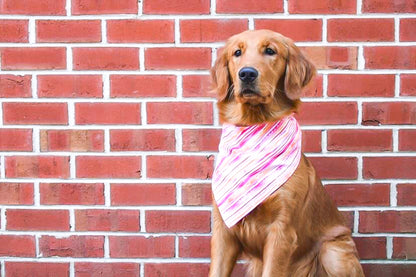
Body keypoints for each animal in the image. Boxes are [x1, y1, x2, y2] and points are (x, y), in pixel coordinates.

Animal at [210, 29, 362, 276]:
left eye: (270, 51)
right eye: (237, 53)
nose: (247, 74)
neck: (256, 125)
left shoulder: (281, 231)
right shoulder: (224, 231)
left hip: (333, 252)